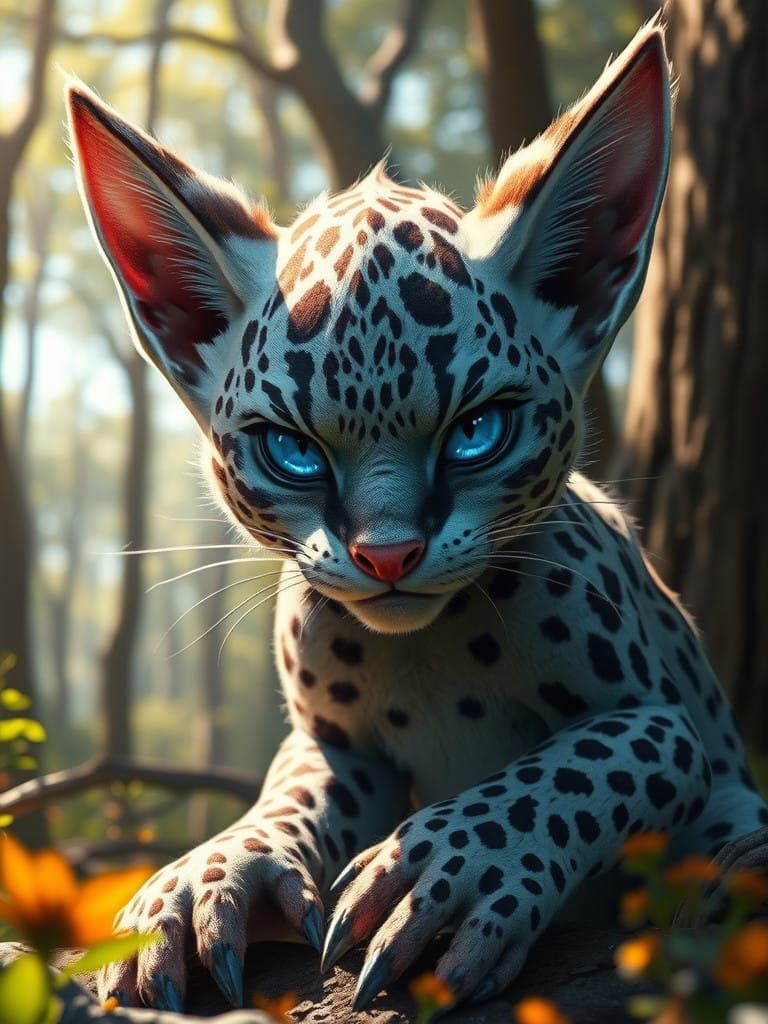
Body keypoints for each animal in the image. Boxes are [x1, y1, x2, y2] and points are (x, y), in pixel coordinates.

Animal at [67, 21, 768, 1014]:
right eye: (291, 450)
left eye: (476, 431)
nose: (388, 554)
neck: (431, 662)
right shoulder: (333, 745)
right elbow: (282, 795)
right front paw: (199, 881)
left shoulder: (669, 719)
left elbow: (590, 760)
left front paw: (451, 869)